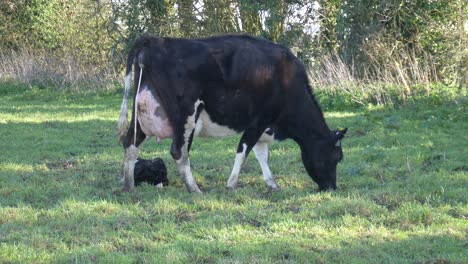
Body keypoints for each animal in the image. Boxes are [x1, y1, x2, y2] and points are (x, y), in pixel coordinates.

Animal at [117, 34, 348, 193]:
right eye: (337, 157)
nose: (331, 187)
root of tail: (156, 39)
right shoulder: (258, 121)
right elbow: (243, 152)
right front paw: (231, 184)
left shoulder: (263, 128)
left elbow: (262, 155)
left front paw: (272, 184)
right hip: (185, 116)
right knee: (178, 152)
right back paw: (195, 189)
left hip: (142, 114)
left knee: (131, 144)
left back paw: (129, 186)